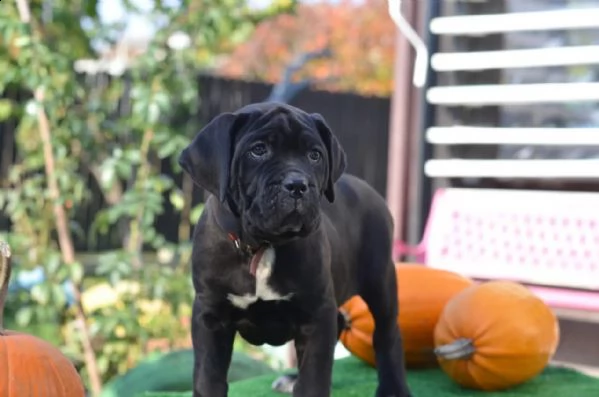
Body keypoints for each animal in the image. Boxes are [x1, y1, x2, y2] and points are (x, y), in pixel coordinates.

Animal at [178, 102, 412, 396]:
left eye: (314, 155)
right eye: (258, 150)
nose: (298, 185)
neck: (262, 246)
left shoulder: (316, 312)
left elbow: (313, 377)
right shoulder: (210, 315)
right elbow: (208, 377)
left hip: (380, 279)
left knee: (386, 333)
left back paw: (394, 388)